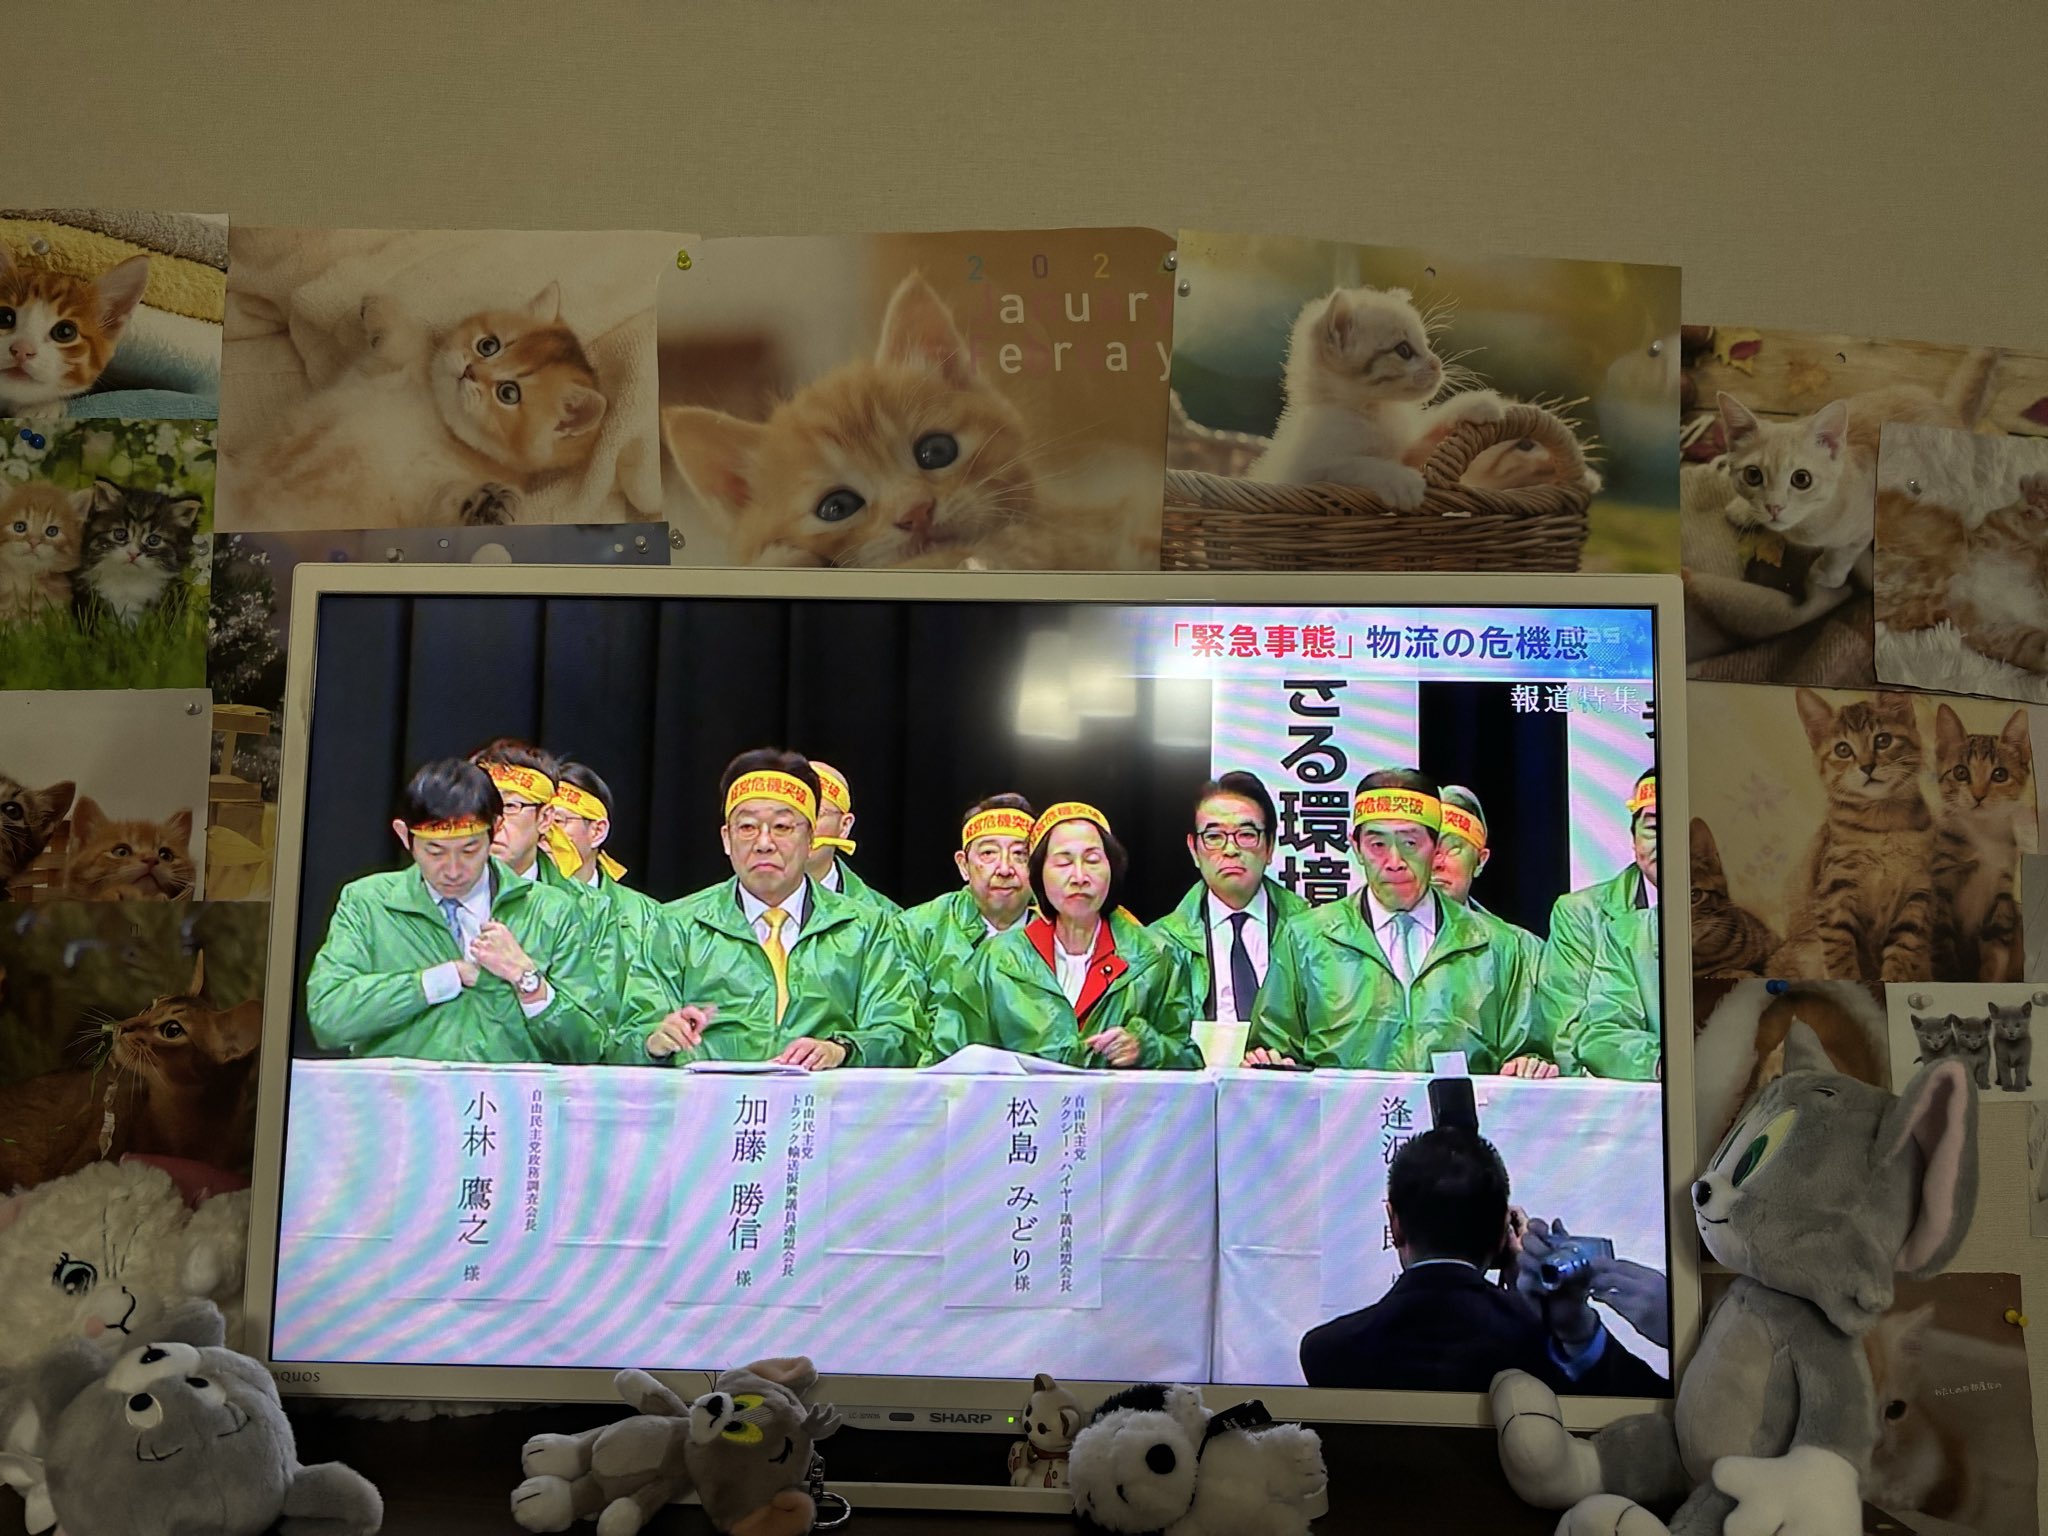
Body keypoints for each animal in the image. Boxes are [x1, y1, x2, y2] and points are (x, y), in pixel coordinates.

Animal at [231, 283, 607, 528]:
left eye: (509, 393)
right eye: (488, 345)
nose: (470, 370)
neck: (438, 420)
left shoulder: (423, 492)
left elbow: (446, 502)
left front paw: (489, 505)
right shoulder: (387, 368)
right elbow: (409, 336)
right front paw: (378, 305)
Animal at [1247, 286, 1503, 508]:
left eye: (1426, 344)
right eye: (1403, 350)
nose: (1437, 364)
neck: (1373, 410)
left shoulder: (1406, 452)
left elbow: (1426, 439)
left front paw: (1474, 404)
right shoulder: (1307, 472)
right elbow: (1355, 464)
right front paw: (1401, 481)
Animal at [1715, 348, 1998, 594]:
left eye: (1801, 479)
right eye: (1753, 475)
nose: (1774, 507)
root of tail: (1943, 406)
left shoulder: (1863, 527)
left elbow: (1840, 554)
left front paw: (1826, 576)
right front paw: (1743, 509)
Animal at [1771, 689, 1934, 981]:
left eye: (1883, 740)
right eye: (1843, 750)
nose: (1867, 766)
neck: (1883, 826)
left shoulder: (1916, 894)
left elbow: (1903, 951)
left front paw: (1893, 979)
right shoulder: (1835, 890)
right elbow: (1840, 950)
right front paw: (1848, 979)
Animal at [1928, 703, 2030, 982]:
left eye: (2000, 774)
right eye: (1961, 772)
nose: (1979, 795)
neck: (1984, 835)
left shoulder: (2002, 894)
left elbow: (1997, 952)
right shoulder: (1941, 883)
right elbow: (1943, 943)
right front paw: (1950, 976)